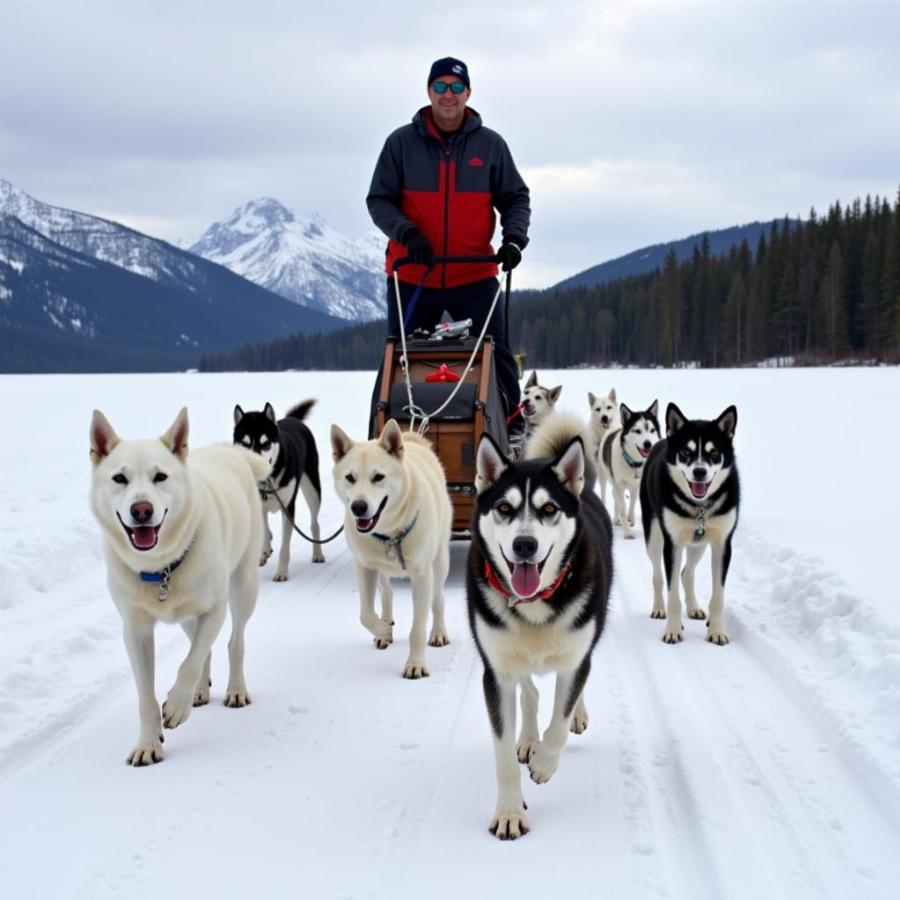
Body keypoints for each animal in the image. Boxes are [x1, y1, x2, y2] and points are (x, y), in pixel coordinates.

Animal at [89, 408, 268, 768]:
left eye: (160, 476)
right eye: (119, 479)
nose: (141, 510)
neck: (161, 569)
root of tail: (230, 450)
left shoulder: (214, 609)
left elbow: (189, 662)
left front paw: (176, 706)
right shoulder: (135, 631)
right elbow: (147, 693)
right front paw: (148, 742)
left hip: (243, 587)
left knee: (233, 642)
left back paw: (235, 689)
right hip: (187, 614)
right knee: (203, 646)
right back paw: (201, 690)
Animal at [332, 418, 454, 680]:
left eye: (378, 477)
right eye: (350, 477)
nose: (358, 507)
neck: (390, 534)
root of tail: (411, 439)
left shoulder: (421, 575)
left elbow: (417, 628)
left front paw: (415, 664)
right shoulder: (365, 567)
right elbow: (365, 615)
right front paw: (382, 629)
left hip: (439, 562)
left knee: (438, 598)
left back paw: (438, 632)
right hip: (379, 570)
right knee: (387, 594)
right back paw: (386, 628)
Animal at [640, 404, 740, 644]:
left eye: (714, 453)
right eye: (686, 452)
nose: (699, 471)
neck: (699, 507)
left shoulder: (722, 544)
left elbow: (718, 596)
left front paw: (717, 631)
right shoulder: (673, 544)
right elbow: (672, 594)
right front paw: (673, 630)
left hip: (699, 543)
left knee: (687, 573)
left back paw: (694, 608)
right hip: (654, 536)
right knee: (658, 575)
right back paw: (659, 608)